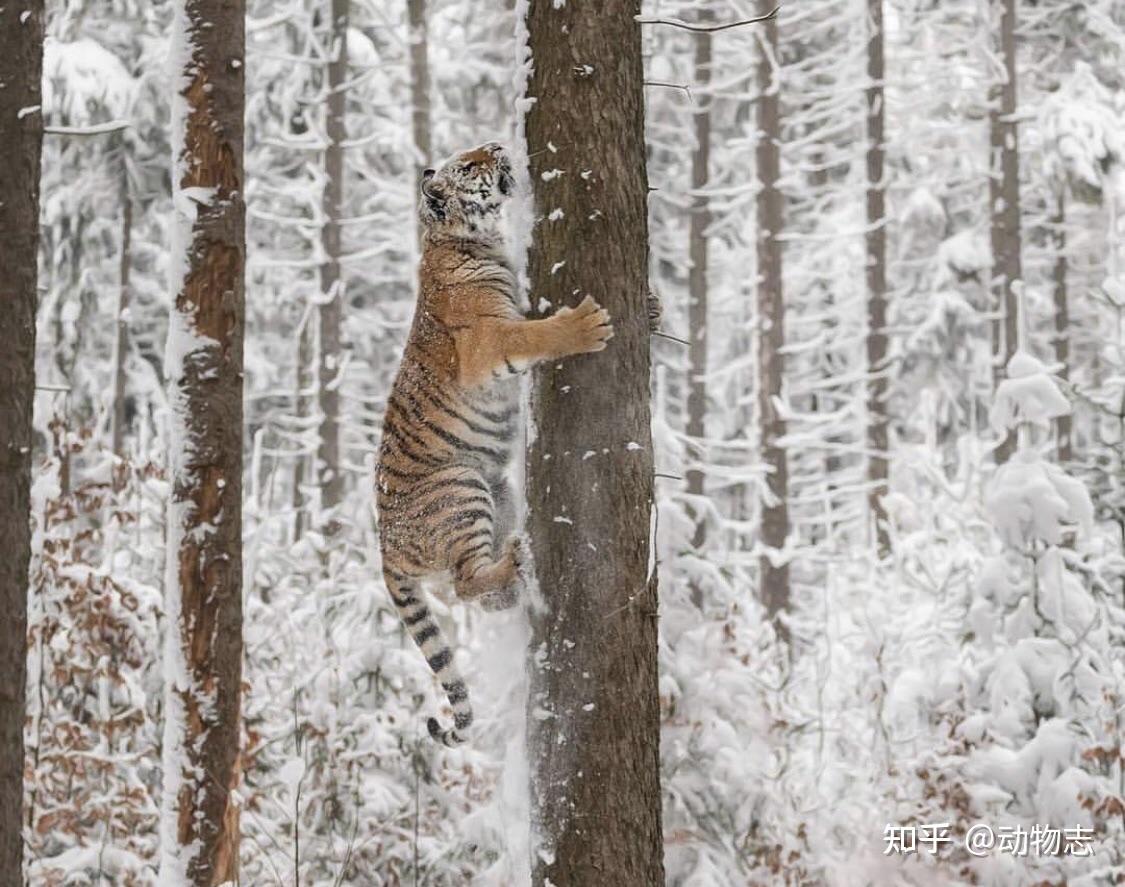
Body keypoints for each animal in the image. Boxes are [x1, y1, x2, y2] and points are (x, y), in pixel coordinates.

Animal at [373, 141, 612, 742]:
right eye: (469, 165)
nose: (499, 146)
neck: (465, 239)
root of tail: (384, 548)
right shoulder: (491, 339)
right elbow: (537, 334)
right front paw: (587, 325)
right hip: (459, 488)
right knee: (463, 584)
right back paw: (515, 560)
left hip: (496, 487)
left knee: (479, 595)